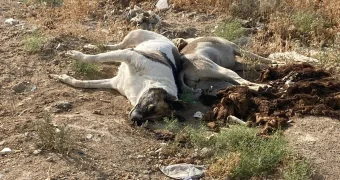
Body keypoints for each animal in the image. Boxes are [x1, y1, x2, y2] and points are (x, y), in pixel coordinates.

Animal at [49, 29, 183, 125]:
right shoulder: (129, 55)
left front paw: (65, 78)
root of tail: (172, 43)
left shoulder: (114, 82)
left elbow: (84, 83)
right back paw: (92, 46)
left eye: (152, 120)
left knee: (115, 47)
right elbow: (95, 58)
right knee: (116, 46)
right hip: (135, 34)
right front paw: (77, 55)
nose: (134, 121)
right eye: (151, 107)